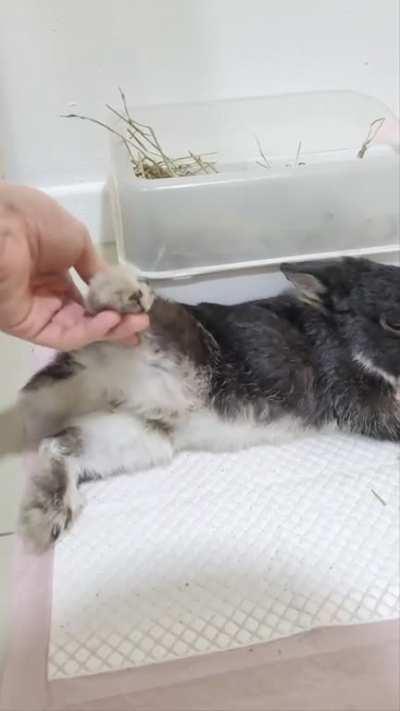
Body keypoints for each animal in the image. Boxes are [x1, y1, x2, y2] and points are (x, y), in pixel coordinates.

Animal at [18, 257, 400, 550]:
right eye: (393, 322)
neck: (340, 333)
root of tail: (91, 370)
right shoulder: (363, 397)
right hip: (167, 336)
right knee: (105, 309)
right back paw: (124, 291)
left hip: (141, 435)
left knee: (56, 446)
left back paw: (48, 518)